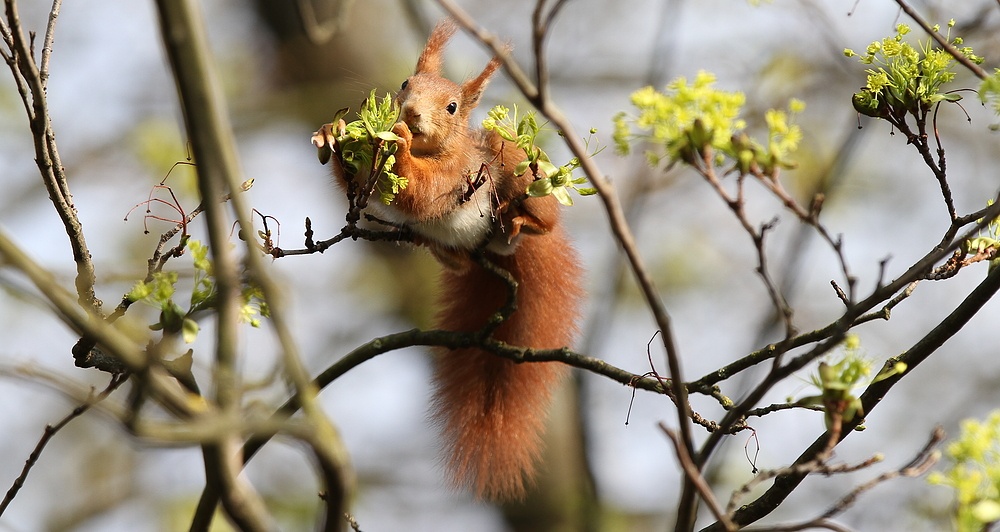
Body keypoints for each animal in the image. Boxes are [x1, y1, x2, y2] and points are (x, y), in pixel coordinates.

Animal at [312, 20, 580, 500]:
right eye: (405, 84)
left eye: (452, 107)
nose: (411, 114)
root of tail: (498, 251)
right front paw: (334, 133)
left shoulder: (456, 173)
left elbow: (422, 190)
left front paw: (397, 144)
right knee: (453, 259)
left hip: (517, 170)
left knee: (539, 216)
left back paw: (521, 221)